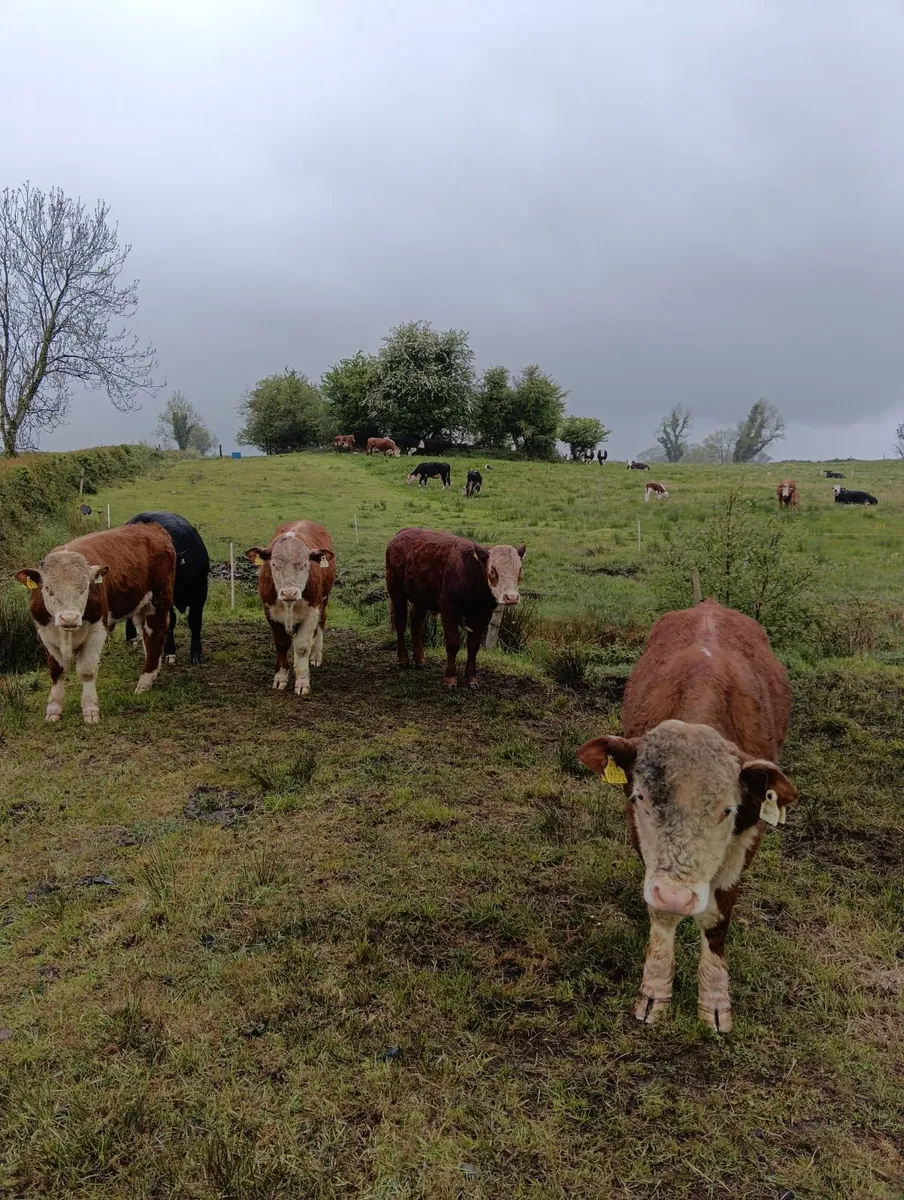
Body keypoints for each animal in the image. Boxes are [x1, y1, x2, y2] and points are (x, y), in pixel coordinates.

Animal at [16, 523, 176, 724]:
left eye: (85, 587)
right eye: (47, 588)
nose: (69, 618)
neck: (67, 633)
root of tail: (152, 526)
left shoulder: (98, 629)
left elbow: (87, 671)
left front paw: (90, 710)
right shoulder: (45, 633)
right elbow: (57, 670)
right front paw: (53, 709)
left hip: (158, 601)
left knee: (156, 636)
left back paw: (145, 681)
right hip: (141, 605)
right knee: (146, 636)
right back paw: (152, 670)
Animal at [124, 512, 210, 665]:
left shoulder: (200, 593)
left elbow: (195, 621)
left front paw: (196, 653)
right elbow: (171, 622)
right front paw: (170, 652)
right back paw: (131, 638)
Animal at [246, 521, 336, 696]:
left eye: (305, 564)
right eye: (274, 564)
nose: (289, 592)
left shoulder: (312, 611)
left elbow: (302, 647)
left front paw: (302, 682)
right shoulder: (270, 612)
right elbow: (282, 645)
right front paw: (280, 679)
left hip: (324, 600)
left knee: (320, 625)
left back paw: (315, 655)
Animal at [386, 528, 526, 689]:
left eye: (519, 570)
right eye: (492, 570)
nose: (511, 597)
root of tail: (403, 532)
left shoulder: (483, 615)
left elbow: (473, 646)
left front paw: (471, 678)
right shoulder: (448, 610)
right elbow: (453, 644)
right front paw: (450, 678)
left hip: (421, 598)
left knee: (416, 624)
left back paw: (420, 660)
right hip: (396, 592)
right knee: (401, 623)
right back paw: (403, 659)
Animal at [577, 599, 796, 1033]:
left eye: (727, 809)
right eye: (640, 797)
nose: (679, 896)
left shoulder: (748, 835)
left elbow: (716, 919)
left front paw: (715, 1001)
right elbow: (661, 915)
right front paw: (653, 993)